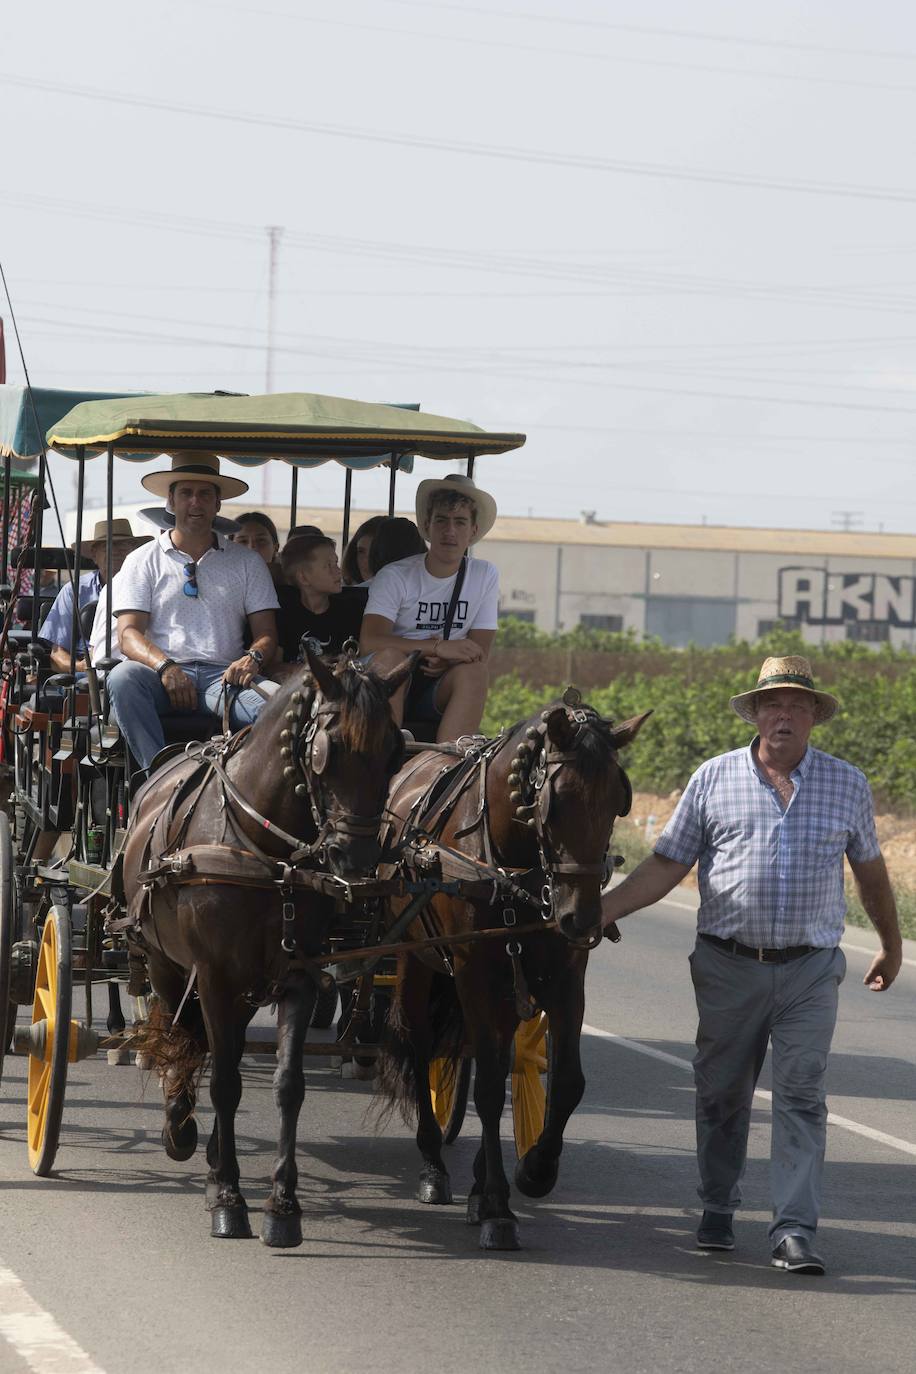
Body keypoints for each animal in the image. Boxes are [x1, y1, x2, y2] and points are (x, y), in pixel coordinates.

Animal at [120, 645, 411, 1247]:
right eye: (327, 750)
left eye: (394, 752)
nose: (356, 861)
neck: (267, 854)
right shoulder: (213, 974)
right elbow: (225, 1080)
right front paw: (228, 1196)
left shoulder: (298, 975)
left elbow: (287, 1085)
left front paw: (282, 1204)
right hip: (163, 961)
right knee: (182, 1037)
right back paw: (180, 1127)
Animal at [373, 703, 650, 1253]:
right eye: (555, 801)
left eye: (618, 801)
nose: (581, 920)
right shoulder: (474, 976)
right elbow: (485, 1088)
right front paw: (500, 1209)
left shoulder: (565, 981)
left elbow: (566, 1081)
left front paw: (534, 1171)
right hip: (417, 962)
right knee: (420, 1047)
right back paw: (435, 1166)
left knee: (497, 1059)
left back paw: (480, 1183)